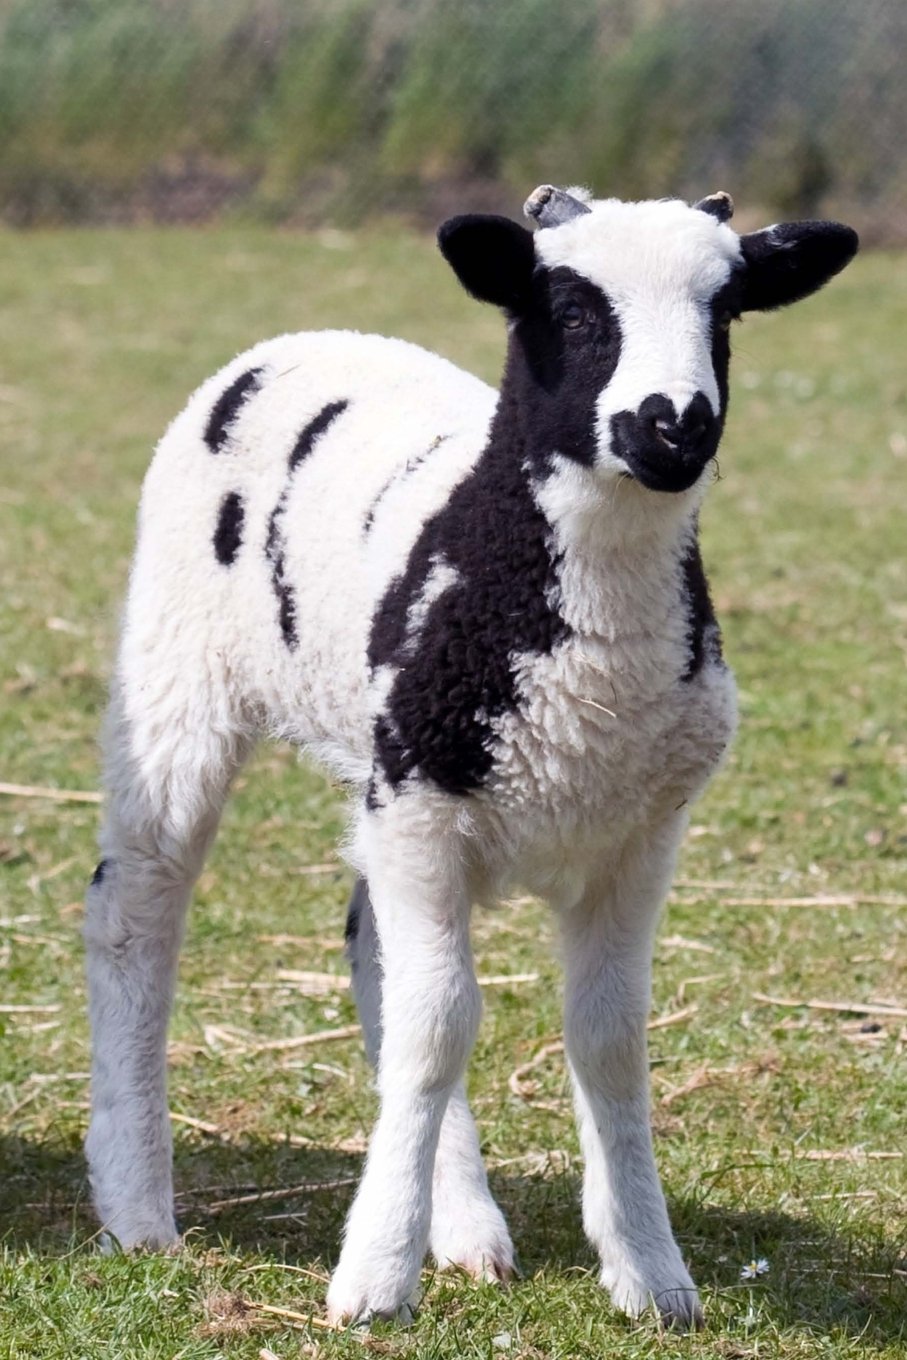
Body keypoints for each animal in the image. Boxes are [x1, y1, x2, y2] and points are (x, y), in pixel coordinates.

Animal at [84, 185, 858, 1329]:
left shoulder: (636, 836)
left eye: (725, 313)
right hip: (179, 676)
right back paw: (139, 1208)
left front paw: (649, 1272)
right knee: (139, 911)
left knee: (378, 952)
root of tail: (300, 340)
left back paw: (460, 1224)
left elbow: (606, 1039)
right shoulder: (421, 805)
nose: (675, 424)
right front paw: (371, 1279)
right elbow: (440, 1026)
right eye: (572, 313)